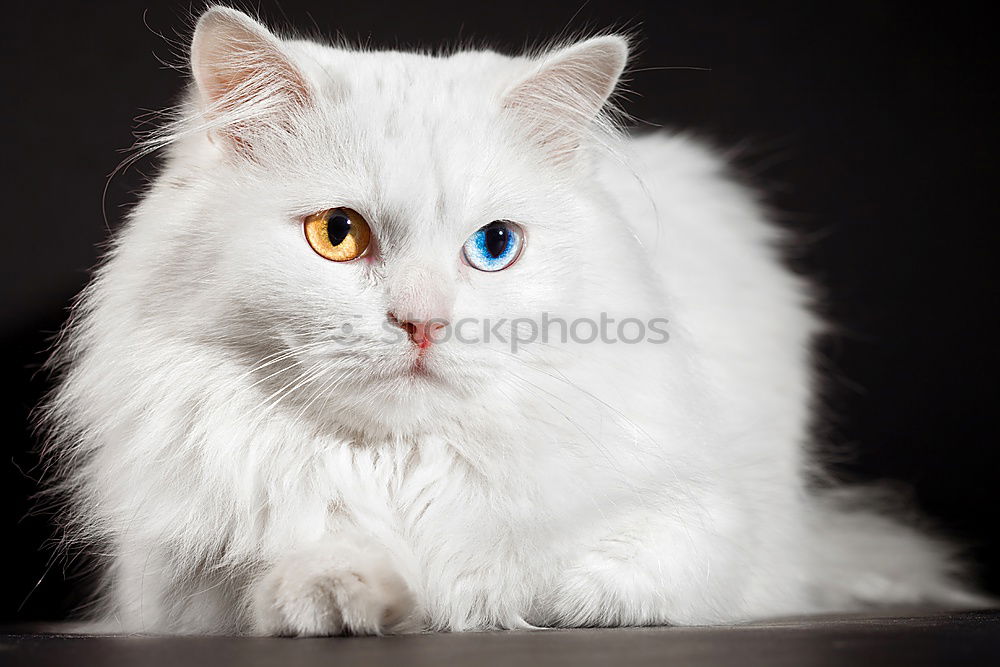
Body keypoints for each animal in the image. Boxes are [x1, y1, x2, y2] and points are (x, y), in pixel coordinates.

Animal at [41, 5, 984, 636]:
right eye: (337, 235)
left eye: (494, 246)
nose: (422, 322)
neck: (405, 470)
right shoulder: (170, 579)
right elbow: (294, 562)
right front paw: (351, 597)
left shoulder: (713, 525)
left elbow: (604, 575)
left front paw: (526, 597)